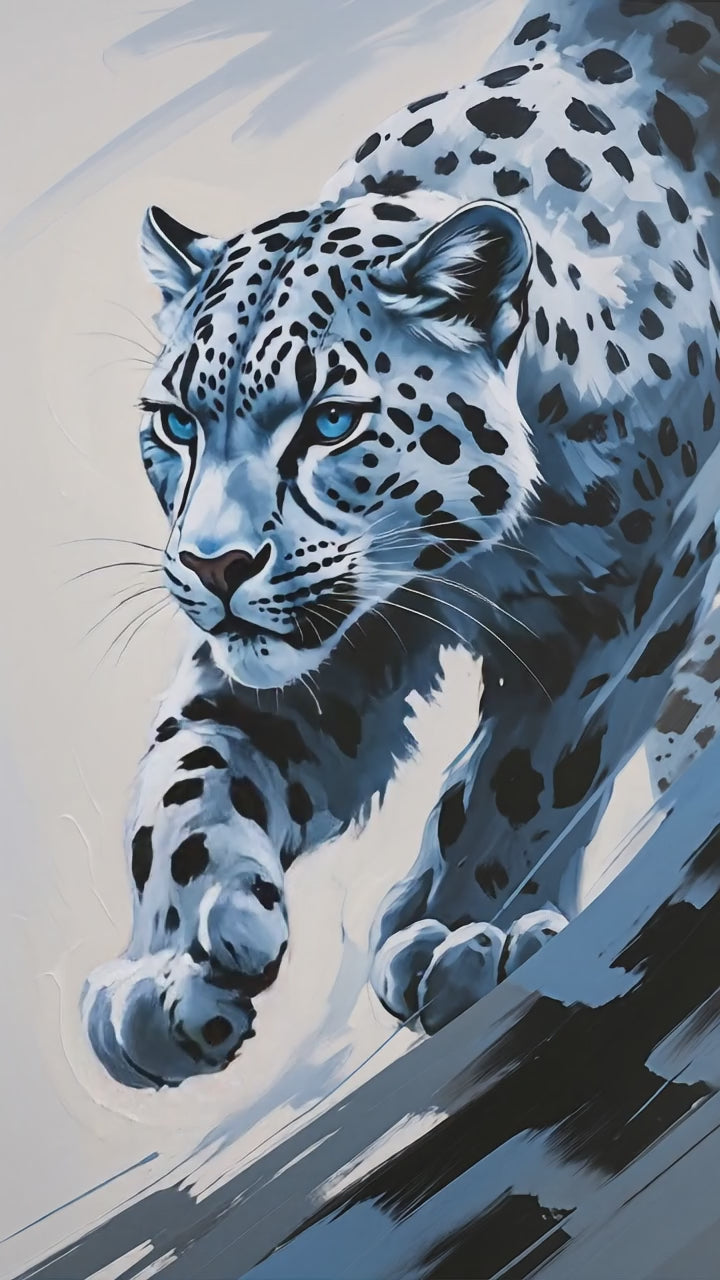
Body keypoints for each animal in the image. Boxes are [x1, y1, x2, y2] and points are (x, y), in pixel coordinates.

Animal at [84, 0, 720, 1086]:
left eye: (331, 420)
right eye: (177, 421)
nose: (215, 565)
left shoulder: (636, 600)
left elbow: (531, 775)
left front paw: (450, 930)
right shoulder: (325, 660)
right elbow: (188, 776)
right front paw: (180, 968)